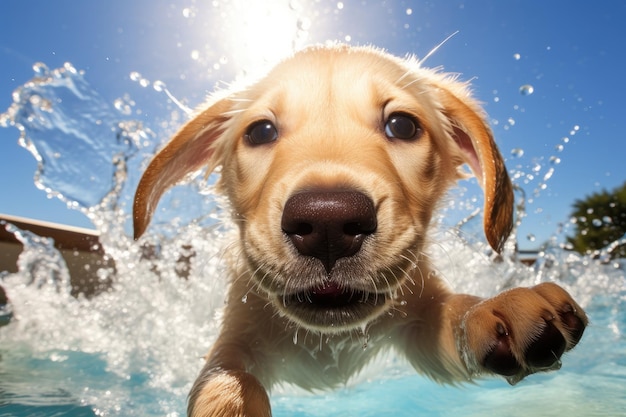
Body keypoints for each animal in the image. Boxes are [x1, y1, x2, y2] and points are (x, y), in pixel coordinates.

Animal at [134, 45, 588, 416]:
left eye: (402, 126)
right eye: (260, 131)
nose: (327, 223)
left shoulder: (419, 322)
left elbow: (454, 314)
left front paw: (495, 306)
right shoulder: (236, 334)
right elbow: (226, 381)